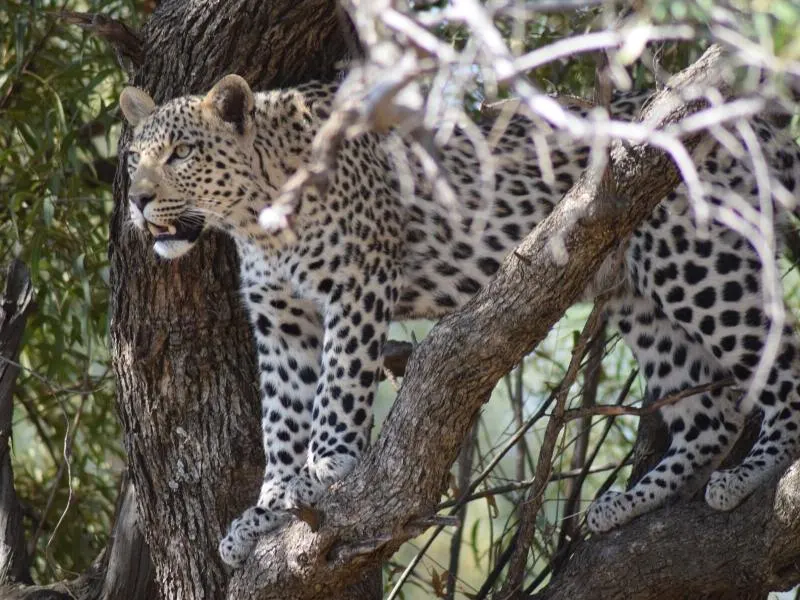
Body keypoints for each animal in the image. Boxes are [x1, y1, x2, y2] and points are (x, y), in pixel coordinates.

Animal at [119, 72, 800, 564]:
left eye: (181, 153)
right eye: (133, 159)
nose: (137, 198)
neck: (255, 217)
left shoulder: (358, 283)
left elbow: (338, 389)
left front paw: (324, 473)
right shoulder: (281, 317)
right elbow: (281, 416)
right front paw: (267, 507)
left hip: (699, 267)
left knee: (782, 363)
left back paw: (752, 474)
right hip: (643, 294)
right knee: (709, 417)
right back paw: (627, 503)